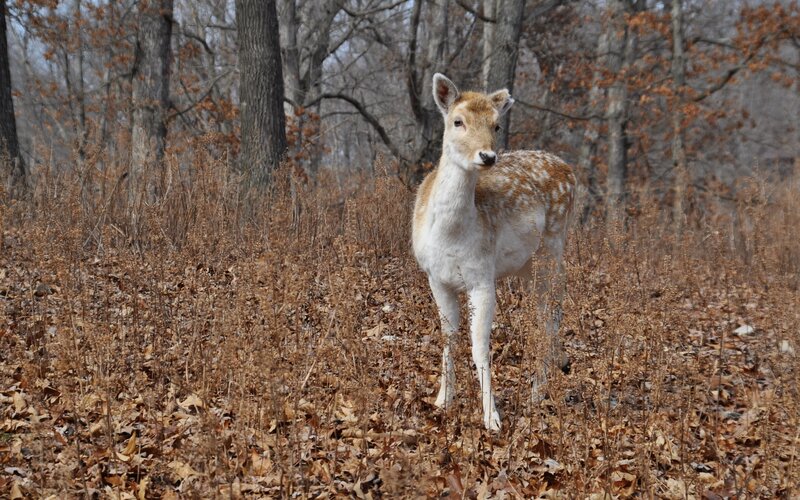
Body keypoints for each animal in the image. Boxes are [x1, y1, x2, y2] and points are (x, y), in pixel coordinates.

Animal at [412, 74, 576, 431]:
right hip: (527, 265)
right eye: (457, 121)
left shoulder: (482, 277)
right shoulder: (436, 278)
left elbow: (479, 347)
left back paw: (538, 392)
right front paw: (443, 400)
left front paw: (492, 417)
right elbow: (448, 337)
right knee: (547, 313)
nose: (487, 156)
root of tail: (569, 169)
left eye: (496, 124)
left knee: (550, 313)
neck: (451, 237)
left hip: (553, 246)